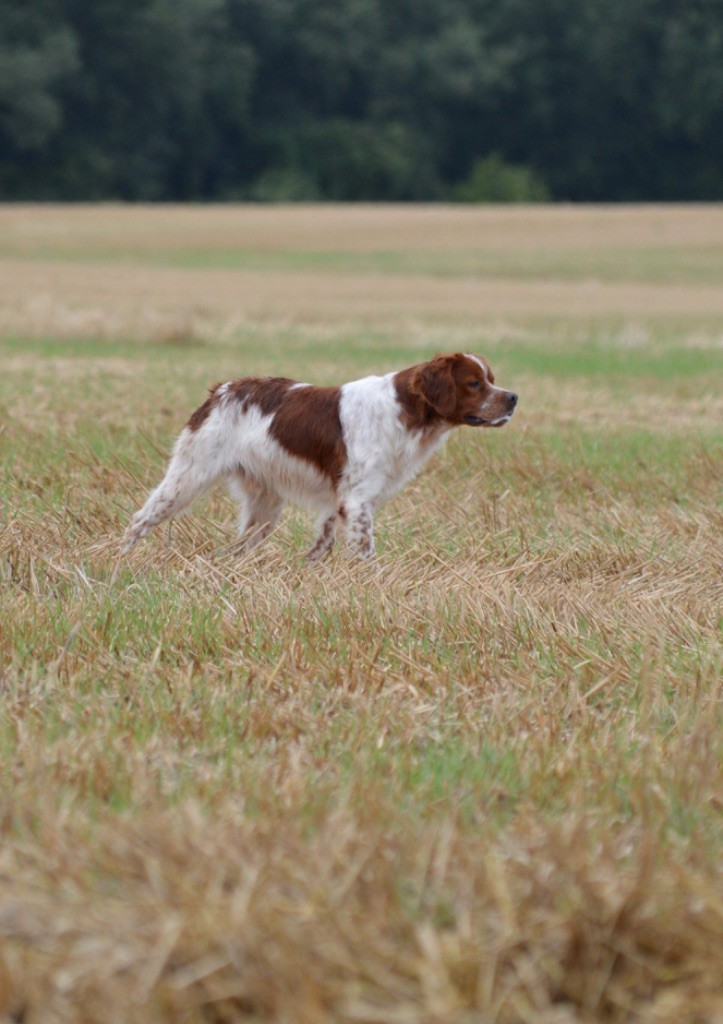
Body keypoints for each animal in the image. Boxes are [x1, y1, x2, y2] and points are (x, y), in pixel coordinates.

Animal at [120, 352, 516, 561]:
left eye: (491, 379)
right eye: (474, 383)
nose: (513, 398)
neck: (403, 412)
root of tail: (221, 390)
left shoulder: (336, 503)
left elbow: (320, 549)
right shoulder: (356, 502)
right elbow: (365, 554)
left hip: (264, 505)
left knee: (239, 548)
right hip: (188, 477)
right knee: (139, 520)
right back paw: (118, 564)